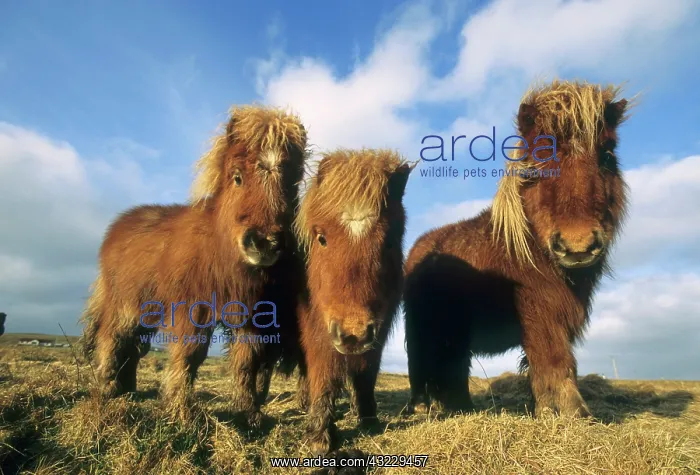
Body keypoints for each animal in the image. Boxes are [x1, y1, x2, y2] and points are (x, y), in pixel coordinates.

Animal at [79, 105, 308, 422]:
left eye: (291, 185)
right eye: (237, 177)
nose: (264, 243)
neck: (219, 248)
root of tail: (116, 227)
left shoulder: (252, 315)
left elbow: (247, 361)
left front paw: (248, 413)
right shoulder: (193, 307)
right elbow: (190, 353)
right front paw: (178, 409)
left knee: (134, 346)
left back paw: (127, 389)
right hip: (124, 304)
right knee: (111, 338)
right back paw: (107, 389)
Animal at [293, 149, 413, 455]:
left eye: (390, 241)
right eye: (321, 237)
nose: (353, 335)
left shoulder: (377, 333)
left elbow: (366, 374)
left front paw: (369, 419)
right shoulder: (317, 330)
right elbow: (322, 374)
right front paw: (320, 436)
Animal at [403, 80, 631, 418]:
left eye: (606, 155)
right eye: (536, 164)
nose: (577, 246)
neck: (530, 248)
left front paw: (552, 409)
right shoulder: (540, 312)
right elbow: (554, 359)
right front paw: (572, 413)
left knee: (453, 366)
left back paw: (462, 408)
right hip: (423, 328)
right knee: (422, 364)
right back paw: (423, 407)